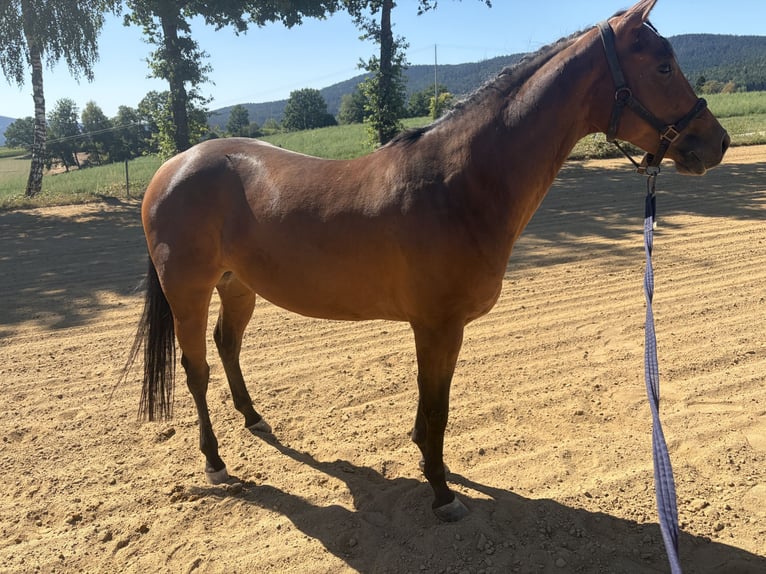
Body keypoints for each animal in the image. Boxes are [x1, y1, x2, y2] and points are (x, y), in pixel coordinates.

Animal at [123, 0, 729, 522]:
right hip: (189, 291)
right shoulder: (439, 326)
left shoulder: (434, 328)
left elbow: (429, 401)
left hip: (238, 285)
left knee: (228, 346)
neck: (457, 184)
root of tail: (171, 168)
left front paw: (423, 456)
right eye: (663, 65)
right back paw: (215, 462)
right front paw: (441, 492)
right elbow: (438, 407)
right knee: (197, 369)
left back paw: (253, 418)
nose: (716, 142)